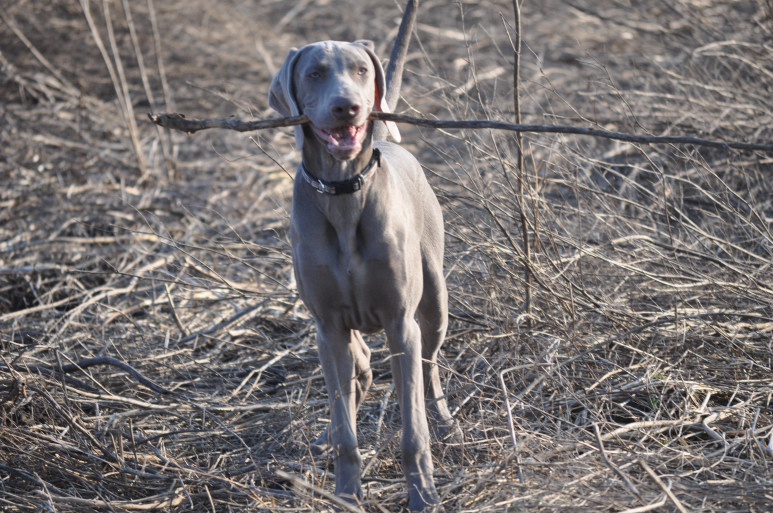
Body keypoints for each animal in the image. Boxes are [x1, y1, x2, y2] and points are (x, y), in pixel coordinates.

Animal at [268, 4, 456, 508]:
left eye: (360, 71)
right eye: (314, 73)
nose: (347, 106)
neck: (343, 192)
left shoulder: (400, 322)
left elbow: (412, 430)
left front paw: (423, 494)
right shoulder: (329, 327)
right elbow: (346, 430)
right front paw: (348, 494)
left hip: (434, 303)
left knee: (429, 369)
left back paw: (445, 420)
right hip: (336, 329)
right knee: (359, 371)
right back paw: (325, 436)